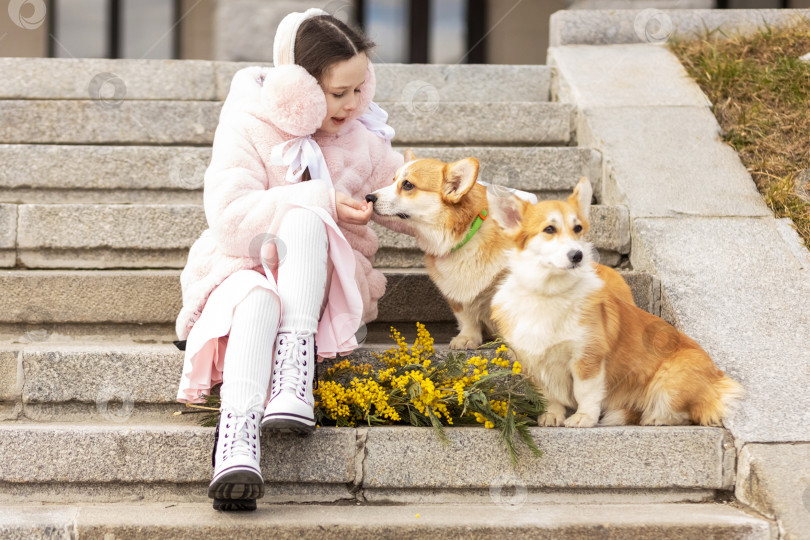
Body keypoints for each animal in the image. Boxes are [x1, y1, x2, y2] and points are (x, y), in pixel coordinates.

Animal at [482, 177, 740, 426]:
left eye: (578, 228)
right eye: (549, 229)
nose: (578, 255)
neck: (549, 292)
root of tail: (718, 377)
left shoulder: (588, 357)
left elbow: (585, 392)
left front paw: (584, 418)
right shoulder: (534, 361)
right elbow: (549, 395)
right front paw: (552, 416)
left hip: (670, 378)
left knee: (692, 411)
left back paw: (655, 417)